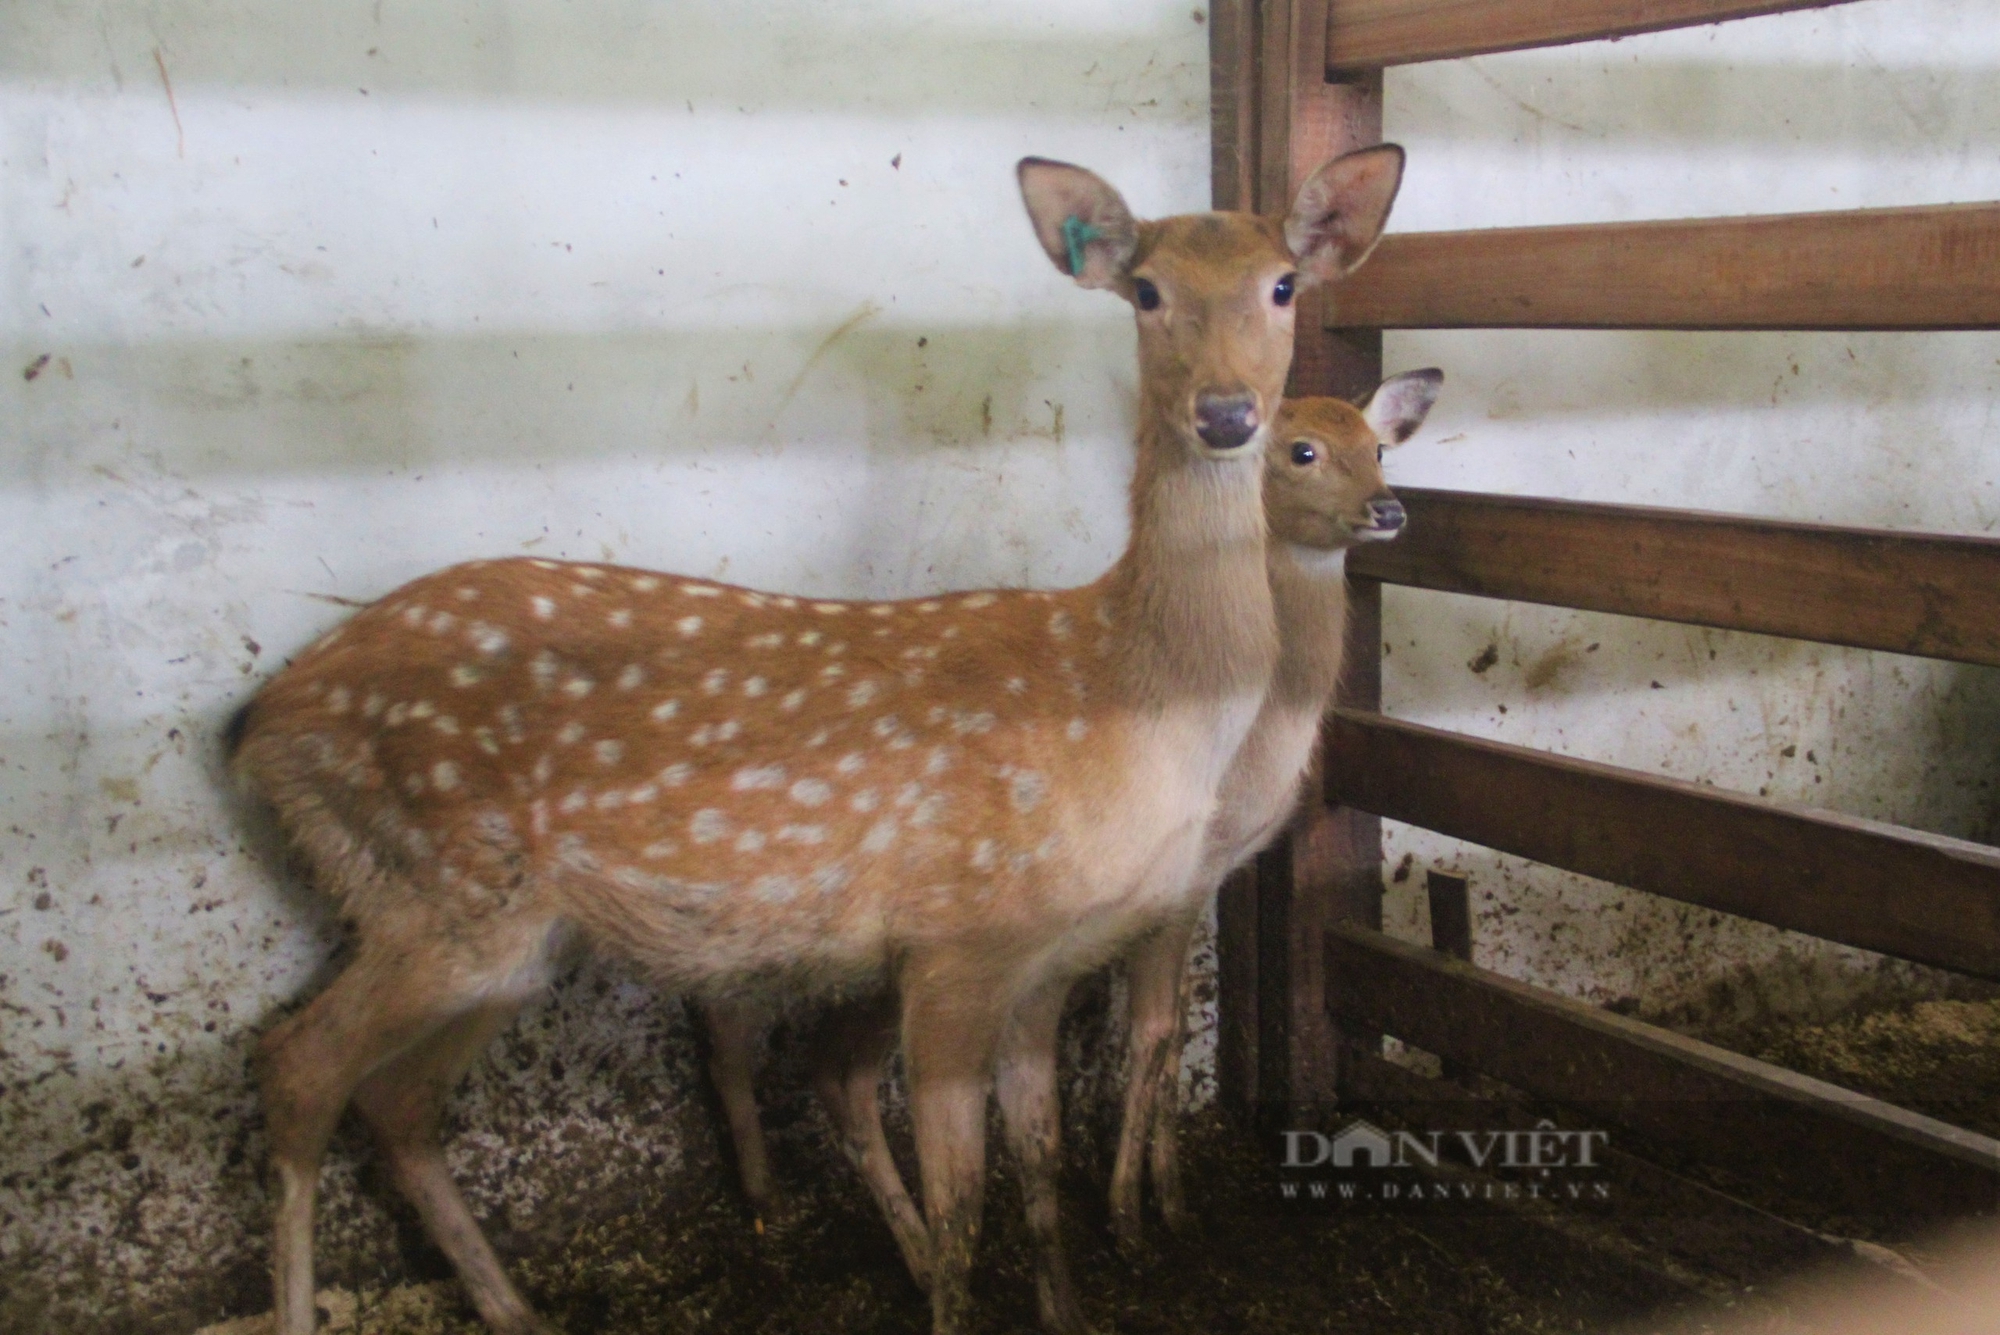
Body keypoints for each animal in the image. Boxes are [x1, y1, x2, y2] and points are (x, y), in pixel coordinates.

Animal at [230, 145, 1408, 1335]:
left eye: (1281, 285)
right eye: (1147, 291)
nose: (1227, 412)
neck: (1119, 688)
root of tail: (259, 726)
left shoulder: (1048, 955)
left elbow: (1036, 1158)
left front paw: (1073, 1307)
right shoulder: (957, 939)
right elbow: (964, 1208)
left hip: (506, 936)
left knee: (393, 1099)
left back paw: (517, 1309)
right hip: (440, 885)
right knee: (296, 1065)